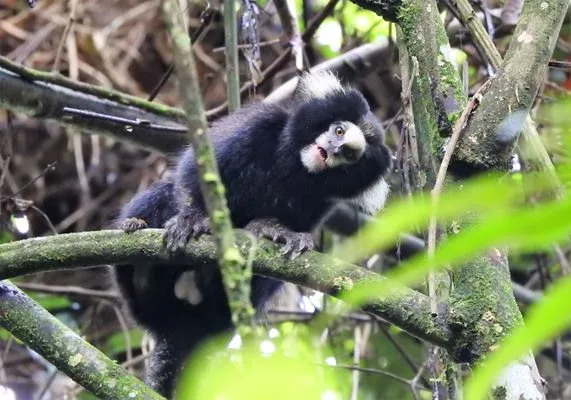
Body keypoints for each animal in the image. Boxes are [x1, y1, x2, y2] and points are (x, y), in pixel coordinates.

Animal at [115, 72, 394, 396]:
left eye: (349, 154)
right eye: (338, 130)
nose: (334, 151)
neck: (293, 165)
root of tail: (185, 325)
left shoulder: (320, 200)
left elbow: (290, 231)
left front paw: (274, 231)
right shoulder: (258, 125)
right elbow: (195, 173)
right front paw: (192, 218)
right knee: (162, 193)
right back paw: (138, 250)